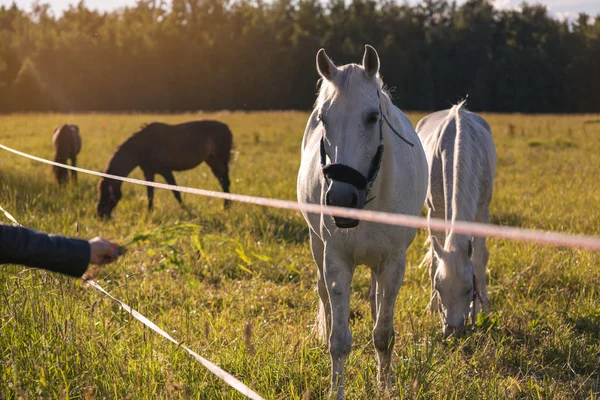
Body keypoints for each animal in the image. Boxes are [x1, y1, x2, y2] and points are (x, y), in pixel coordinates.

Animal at [96, 120, 232, 219]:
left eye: (107, 194)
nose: (100, 214)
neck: (141, 146)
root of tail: (227, 128)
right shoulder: (148, 172)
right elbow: (150, 194)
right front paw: (149, 213)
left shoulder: (165, 171)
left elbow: (176, 192)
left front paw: (187, 211)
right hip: (212, 161)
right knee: (222, 181)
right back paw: (226, 206)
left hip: (221, 161)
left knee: (225, 182)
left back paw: (226, 208)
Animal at [298, 45, 428, 398]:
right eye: (323, 118)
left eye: (372, 117)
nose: (342, 200)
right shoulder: (336, 261)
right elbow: (340, 341)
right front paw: (336, 390)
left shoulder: (394, 263)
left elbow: (383, 334)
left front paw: (386, 385)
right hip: (317, 244)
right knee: (325, 296)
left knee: (375, 300)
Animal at [418, 101, 496, 336]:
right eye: (438, 287)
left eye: (469, 289)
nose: (452, 330)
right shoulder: (434, 212)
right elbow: (435, 260)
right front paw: (432, 308)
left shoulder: (482, 213)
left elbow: (478, 260)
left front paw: (481, 311)